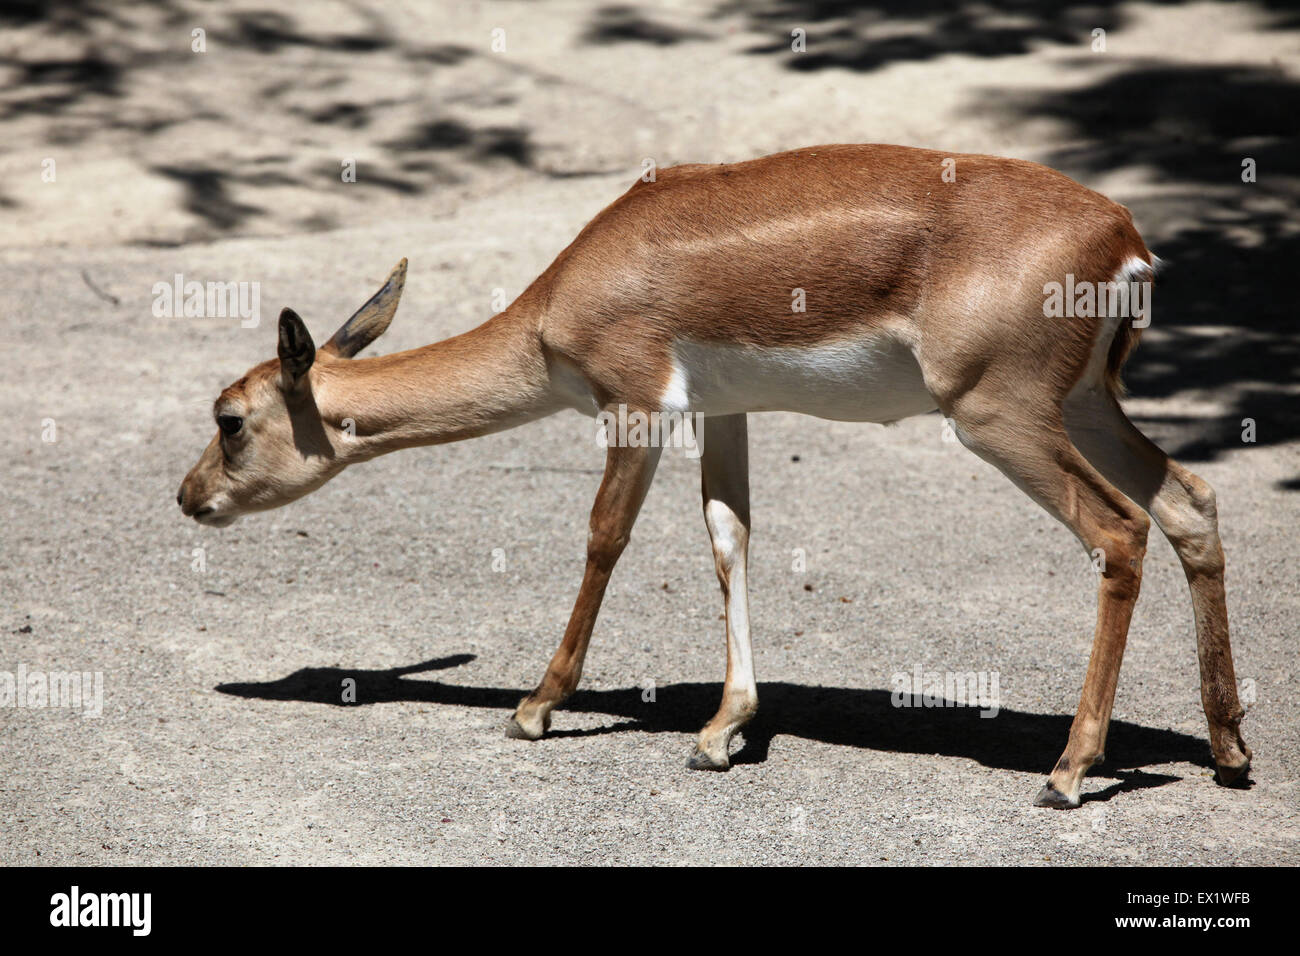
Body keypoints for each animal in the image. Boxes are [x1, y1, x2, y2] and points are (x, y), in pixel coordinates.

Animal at [178, 143, 1253, 806]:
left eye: (229, 420)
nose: (189, 498)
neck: (563, 297)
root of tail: (1122, 239)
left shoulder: (635, 404)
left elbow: (604, 538)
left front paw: (535, 708)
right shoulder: (724, 411)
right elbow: (729, 536)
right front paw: (721, 730)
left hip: (1001, 417)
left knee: (1119, 530)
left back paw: (1069, 771)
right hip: (1085, 405)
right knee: (1190, 503)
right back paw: (1230, 749)